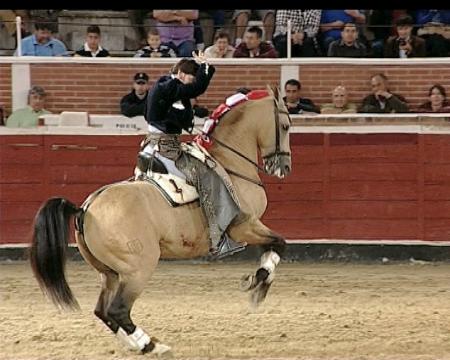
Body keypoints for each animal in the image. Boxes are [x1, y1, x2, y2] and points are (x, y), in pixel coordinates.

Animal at [29, 86, 294, 356]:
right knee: (117, 310)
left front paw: (259, 281)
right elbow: (280, 243)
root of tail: (86, 208)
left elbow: (273, 245)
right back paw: (152, 345)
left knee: (103, 311)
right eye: (285, 126)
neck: (229, 165)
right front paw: (258, 281)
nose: (283, 167)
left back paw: (137, 344)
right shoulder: (243, 226)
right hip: (138, 269)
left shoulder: (251, 226)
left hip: (110, 273)